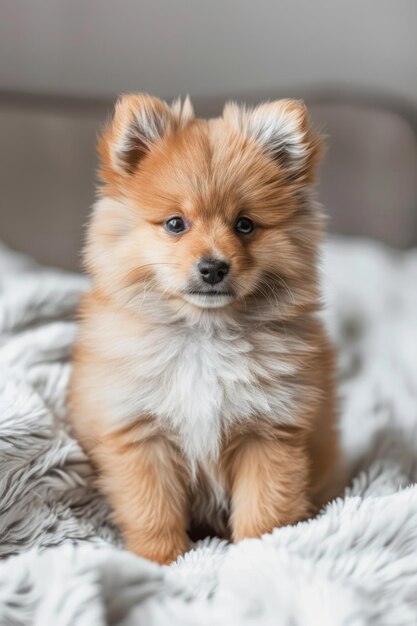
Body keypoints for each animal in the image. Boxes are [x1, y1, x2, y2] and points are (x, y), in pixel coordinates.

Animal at [70, 95, 340, 564]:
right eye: (176, 224)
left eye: (245, 225)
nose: (213, 267)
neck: (203, 336)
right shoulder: (141, 435)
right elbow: (153, 510)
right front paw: (163, 562)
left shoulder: (268, 434)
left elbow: (264, 508)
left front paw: (258, 556)